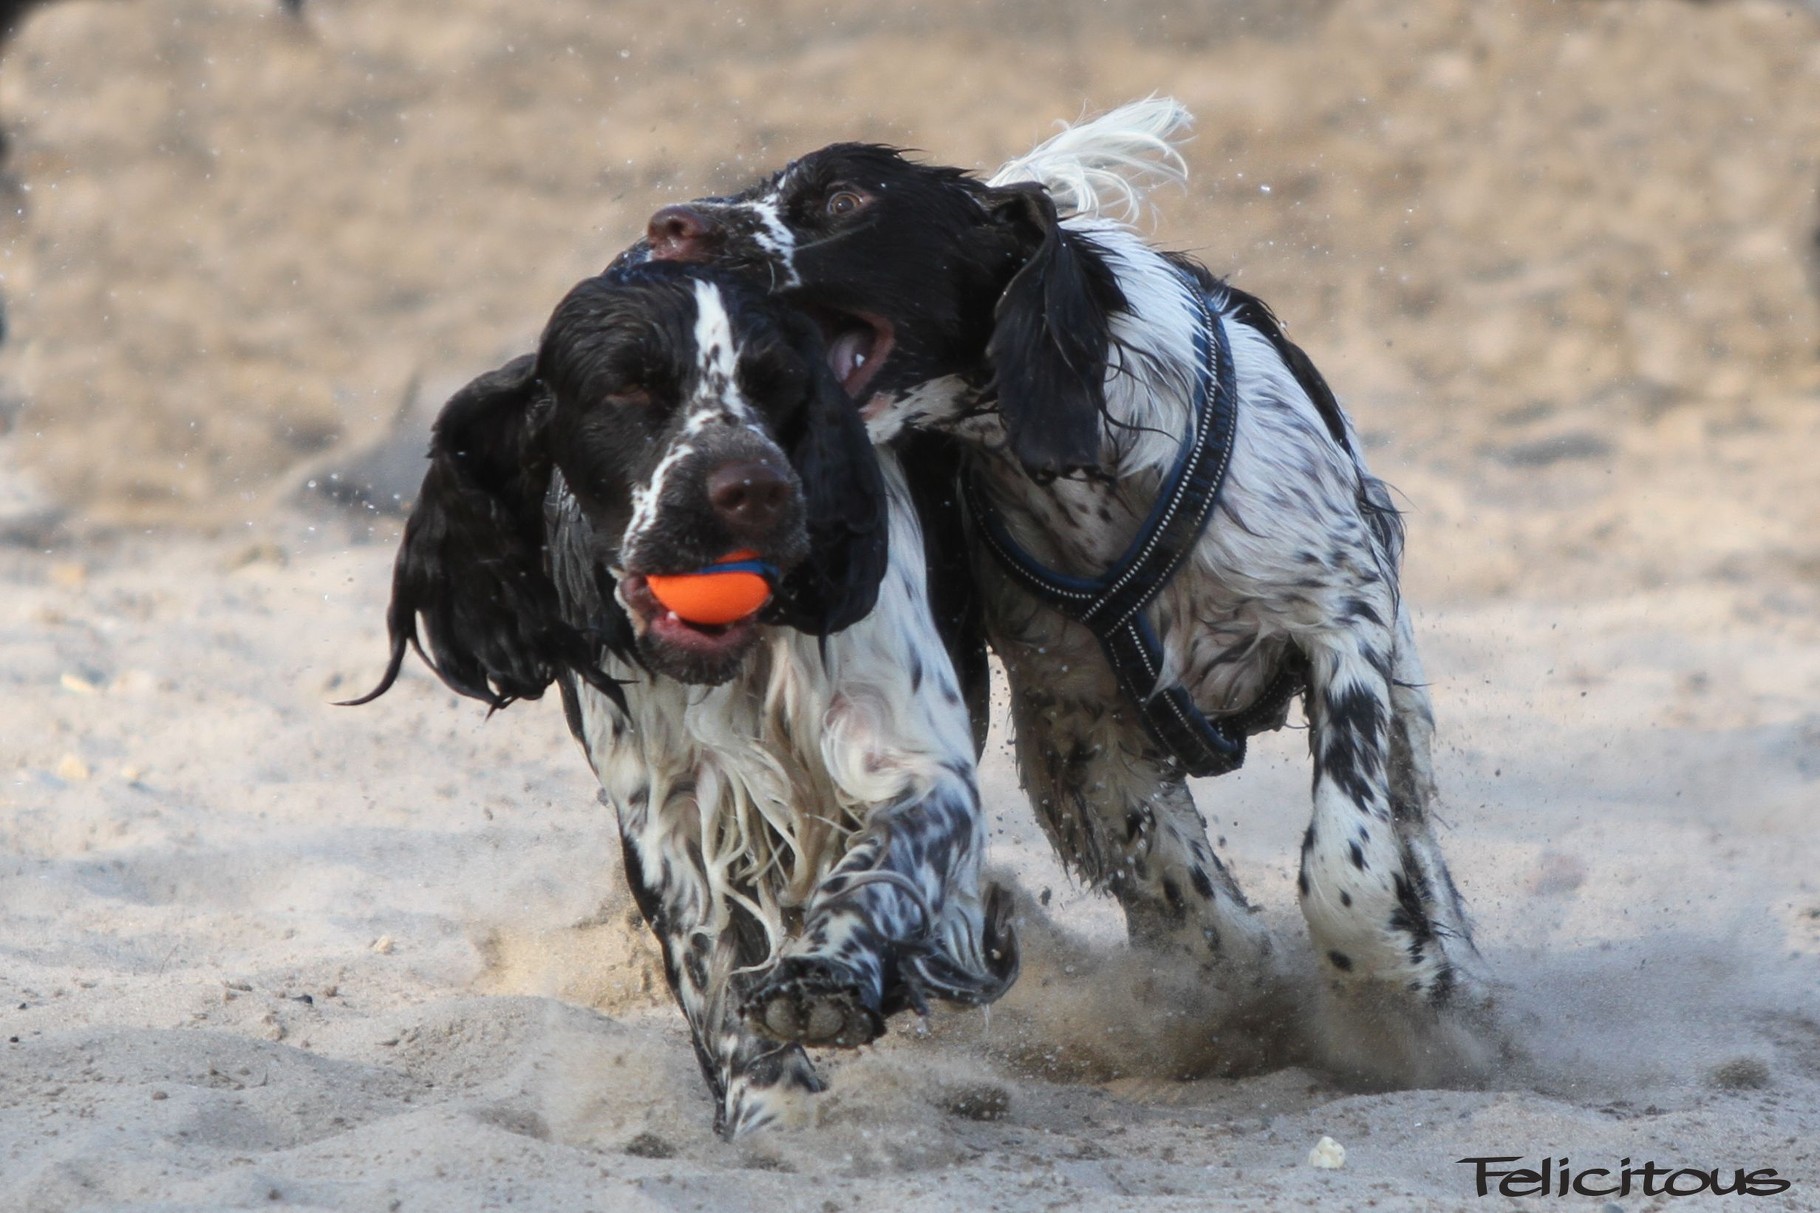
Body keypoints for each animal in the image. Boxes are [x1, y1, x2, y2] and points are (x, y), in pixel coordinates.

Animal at [347, 256, 1019, 1136]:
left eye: (776, 385)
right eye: (630, 388)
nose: (755, 488)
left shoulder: (917, 762)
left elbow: (881, 864)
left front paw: (825, 976)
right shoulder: (665, 818)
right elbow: (715, 974)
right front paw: (773, 1111)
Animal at [626, 96, 1492, 1041]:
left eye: (845, 200)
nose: (665, 227)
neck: (1095, 469)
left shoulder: (1341, 613)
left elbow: (1347, 854)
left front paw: (1390, 973)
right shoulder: (1083, 719)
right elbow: (1192, 899)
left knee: (1411, 821)